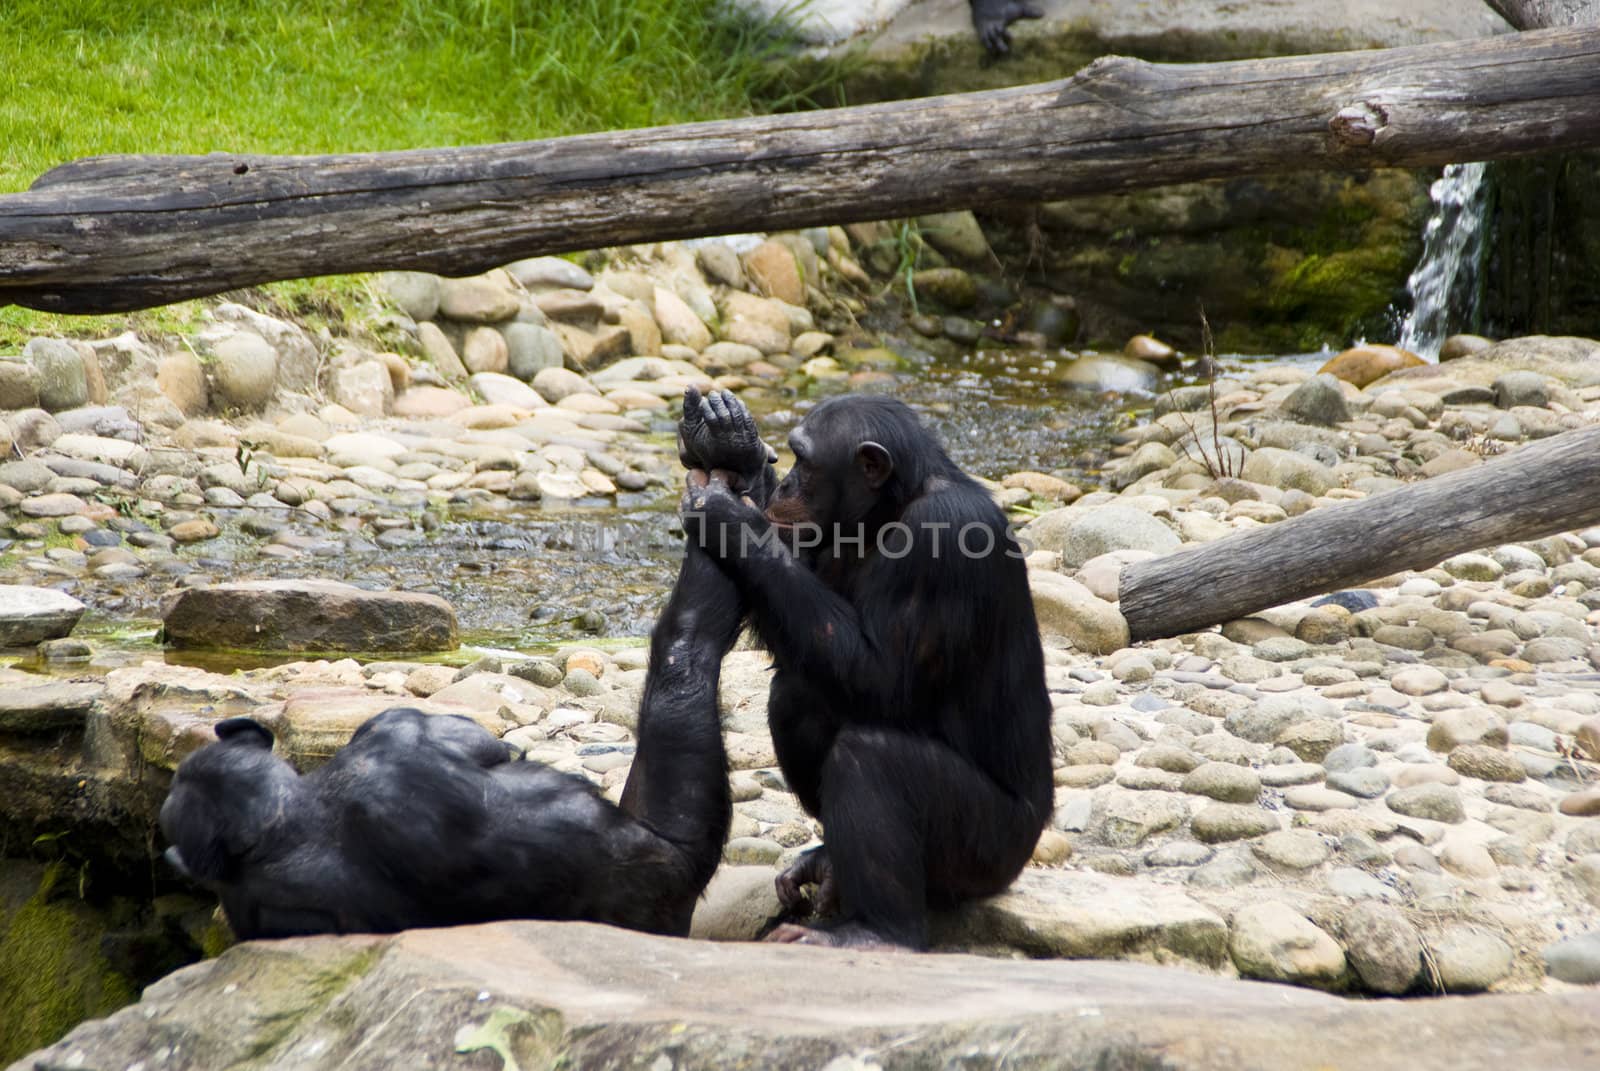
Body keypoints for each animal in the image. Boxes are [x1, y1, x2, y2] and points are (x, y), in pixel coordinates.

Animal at [681, 389, 1056, 947]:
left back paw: (878, 933)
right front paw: (738, 453)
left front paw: (730, 519)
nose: (785, 483)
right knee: (795, 695)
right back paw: (830, 865)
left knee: (871, 755)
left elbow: (882, 679)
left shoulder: (943, 533)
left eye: (804, 460)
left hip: (991, 849)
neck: (890, 510)